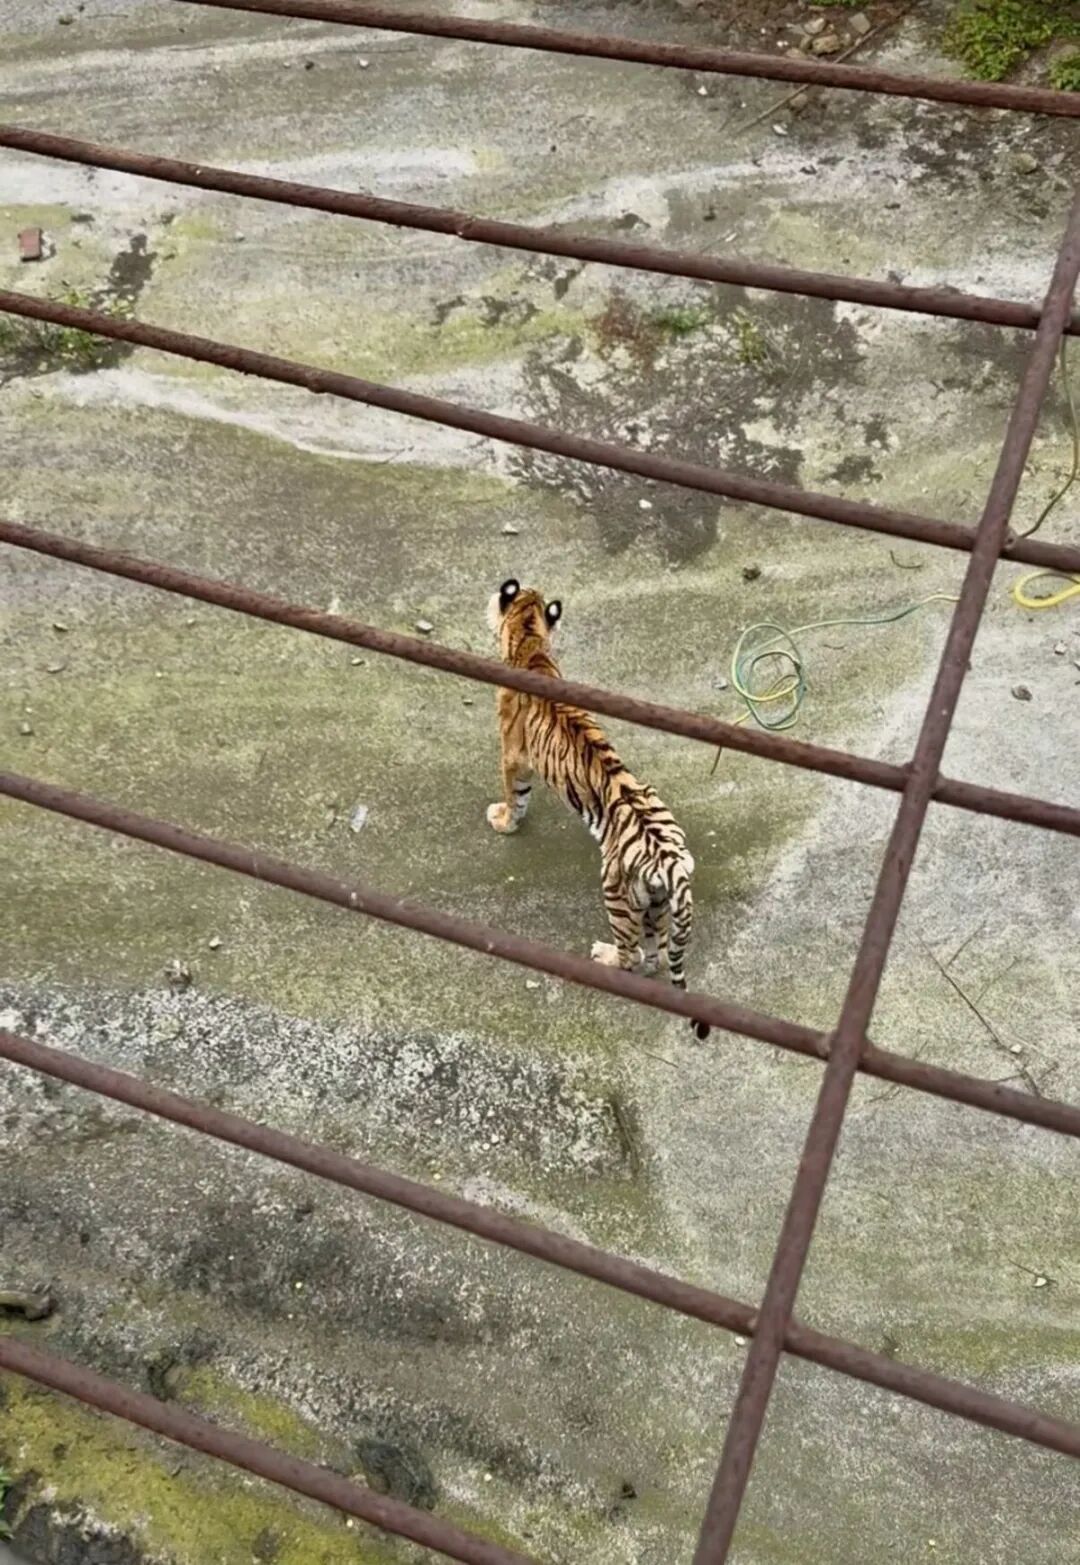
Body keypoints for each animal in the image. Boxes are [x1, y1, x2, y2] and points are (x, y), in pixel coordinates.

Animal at [486, 578, 708, 1040]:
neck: (531, 642)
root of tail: (671, 861)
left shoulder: (514, 754)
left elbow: (515, 795)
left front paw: (503, 821)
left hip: (615, 892)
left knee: (631, 956)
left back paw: (603, 955)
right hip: (659, 904)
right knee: (657, 957)